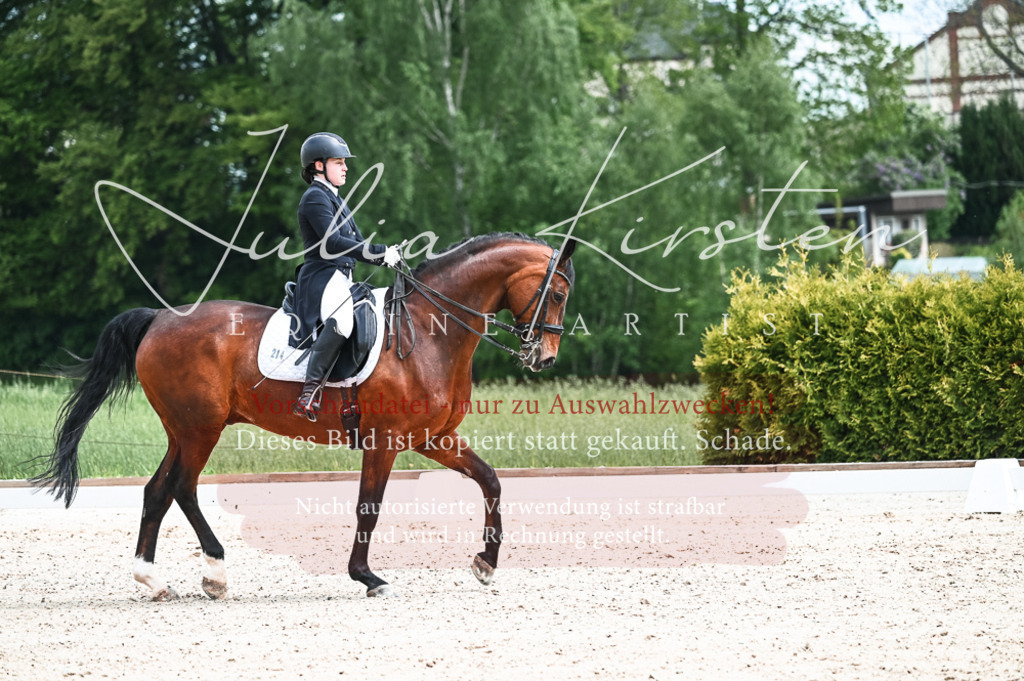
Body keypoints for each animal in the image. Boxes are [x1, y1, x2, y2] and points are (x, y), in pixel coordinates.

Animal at [32, 232, 576, 600]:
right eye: (557, 293)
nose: (544, 358)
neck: (428, 332)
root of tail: (160, 317)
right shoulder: (385, 441)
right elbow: (369, 507)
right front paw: (367, 577)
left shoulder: (433, 438)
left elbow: (490, 481)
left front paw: (486, 563)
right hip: (201, 428)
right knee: (183, 487)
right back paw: (215, 573)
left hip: (182, 430)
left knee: (158, 491)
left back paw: (153, 578)